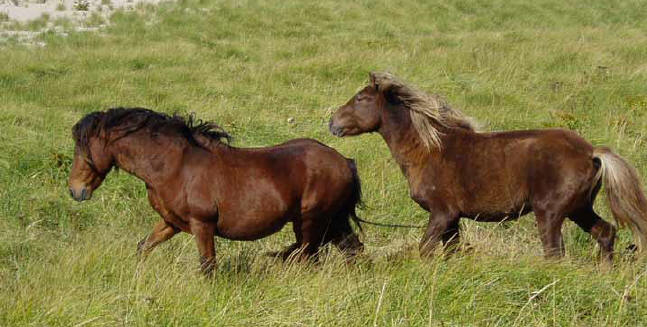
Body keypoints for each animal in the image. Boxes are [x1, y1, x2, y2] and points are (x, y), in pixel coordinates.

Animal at [71, 109, 368, 276]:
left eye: (84, 150)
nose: (75, 191)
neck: (174, 165)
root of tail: (345, 162)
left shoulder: (202, 225)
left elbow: (207, 266)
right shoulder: (171, 223)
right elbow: (144, 247)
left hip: (311, 221)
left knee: (309, 256)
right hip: (331, 220)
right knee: (350, 249)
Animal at [332, 72, 647, 264]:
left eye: (361, 98)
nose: (332, 123)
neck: (428, 149)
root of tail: (592, 152)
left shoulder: (441, 213)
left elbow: (425, 249)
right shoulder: (452, 219)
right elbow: (451, 251)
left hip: (551, 213)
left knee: (555, 252)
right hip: (579, 208)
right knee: (605, 232)